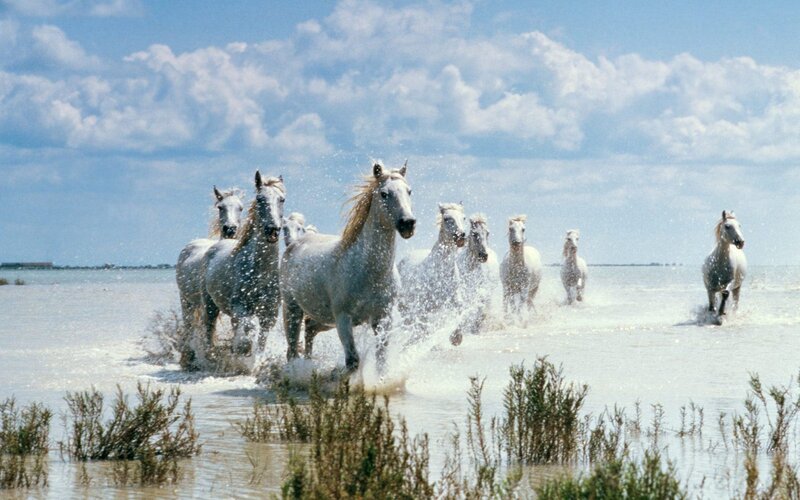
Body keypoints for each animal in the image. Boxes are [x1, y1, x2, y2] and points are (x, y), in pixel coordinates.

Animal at [200, 171, 285, 358]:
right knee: (209, 328)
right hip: (210, 304)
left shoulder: (269, 314)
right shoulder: (239, 308)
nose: (272, 230)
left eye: (282, 199)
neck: (261, 272)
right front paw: (242, 350)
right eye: (260, 199)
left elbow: (261, 341)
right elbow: (248, 329)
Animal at [280, 162, 415, 372]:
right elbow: (353, 361)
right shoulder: (343, 318)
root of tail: (294, 244)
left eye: (409, 191)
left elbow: (381, 359)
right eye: (384, 193)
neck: (368, 270)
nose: (408, 224)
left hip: (323, 319)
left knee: (309, 331)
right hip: (292, 309)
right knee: (292, 350)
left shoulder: (382, 317)